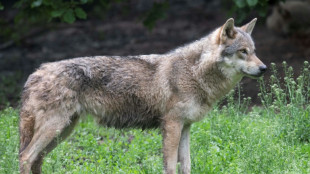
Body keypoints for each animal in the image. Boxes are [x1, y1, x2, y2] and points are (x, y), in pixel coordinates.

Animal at [18, 18, 266, 173]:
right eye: (243, 52)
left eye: (254, 51)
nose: (264, 68)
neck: (194, 73)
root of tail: (35, 72)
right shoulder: (172, 125)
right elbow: (170, 166)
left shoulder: (186, 127)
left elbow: (186, 166)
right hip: (54, 129)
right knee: (25, 158)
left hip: (63, 131)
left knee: (36, 161)